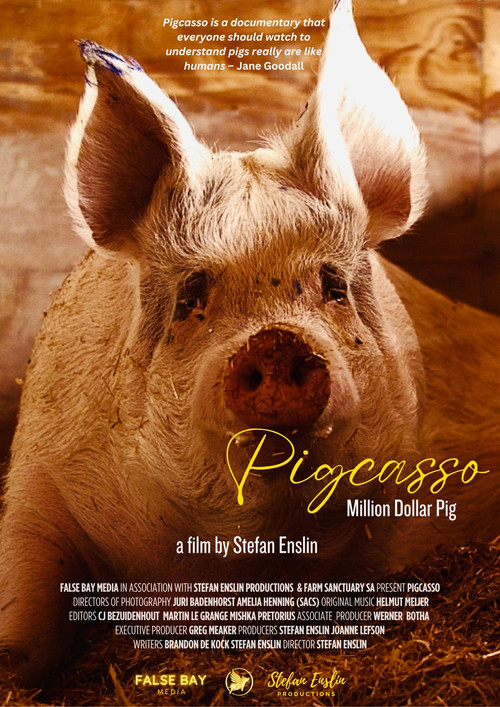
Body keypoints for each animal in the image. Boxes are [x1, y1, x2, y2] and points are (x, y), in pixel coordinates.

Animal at [1, 0, 499, 685]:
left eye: (334, 287)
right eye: (191, 297)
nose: (274, 342)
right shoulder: (37, 469)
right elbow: (23, 618)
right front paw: (14, 664)